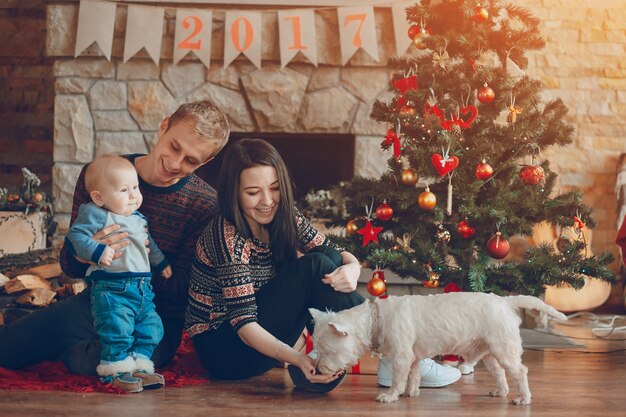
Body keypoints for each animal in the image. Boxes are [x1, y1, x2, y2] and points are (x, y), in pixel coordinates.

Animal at [308, 292, 564, 404]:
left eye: (327, 350)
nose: (317, 370)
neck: (374, 319)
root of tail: (506, 301)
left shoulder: (402, 355)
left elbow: (398, 377)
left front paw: (390, 395)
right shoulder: (412, 356)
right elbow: (412, 375)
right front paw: (411, 392)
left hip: (503, 347)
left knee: (520, 371)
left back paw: (524, 399)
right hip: (490, 352)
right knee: (499, 371)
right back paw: (500, 392)